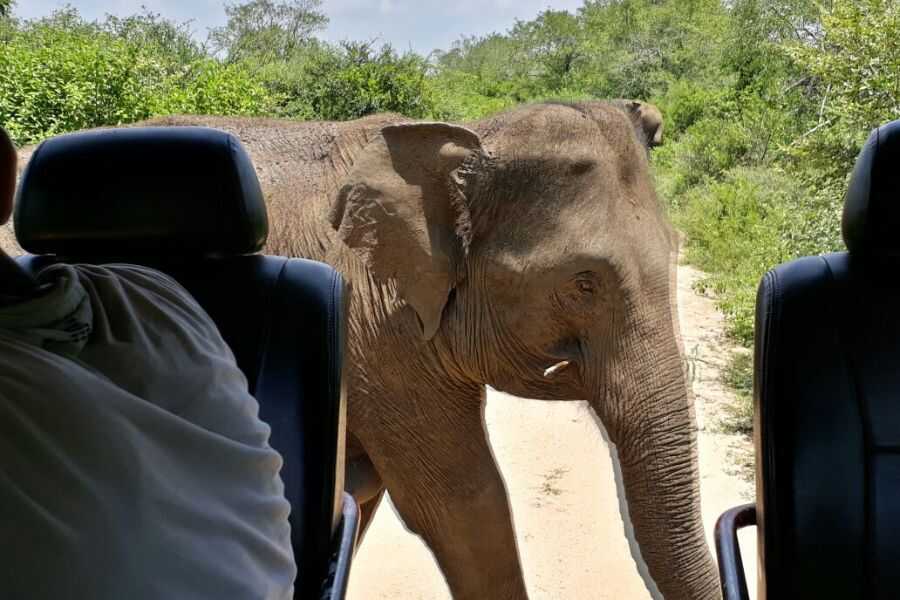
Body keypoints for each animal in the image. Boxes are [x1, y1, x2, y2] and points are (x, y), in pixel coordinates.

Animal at [6, 101, 718, 600]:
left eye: (678, 251)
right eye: (583, 282)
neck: (461, 140)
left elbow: (364, 494)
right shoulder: (374, 327)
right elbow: (462, 503)